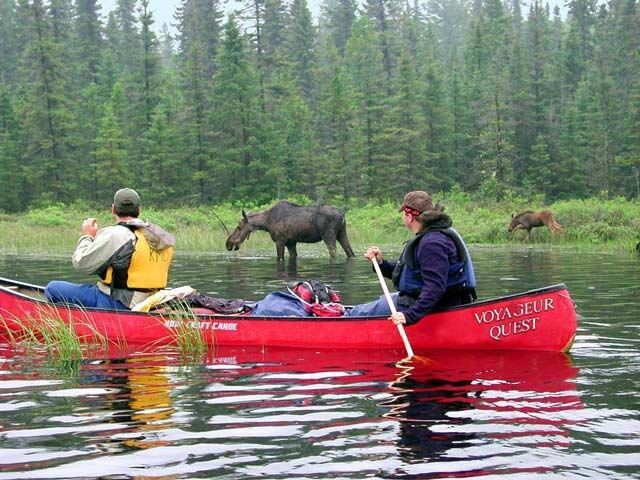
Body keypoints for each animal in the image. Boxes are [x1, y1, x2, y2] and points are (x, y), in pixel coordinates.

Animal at [225, 200, 356, 260]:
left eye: (238, 227)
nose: (228, 243)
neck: (266, 223)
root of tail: (342, 215)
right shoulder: (291, 242)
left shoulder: (280, 240)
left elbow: (280, 257)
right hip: (342, 233)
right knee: (350, 252)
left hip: (328, 235)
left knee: (334, 254)